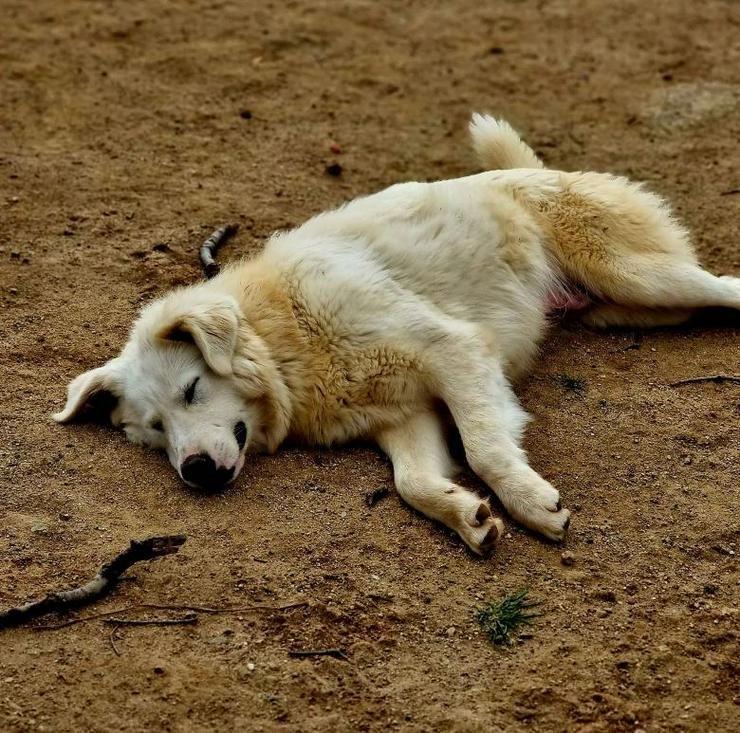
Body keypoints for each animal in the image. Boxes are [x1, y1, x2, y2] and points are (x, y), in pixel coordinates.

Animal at [55, 116, 740, 556]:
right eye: (154, 431)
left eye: (193, 390)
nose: (195, 471)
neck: (285, 336)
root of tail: (531, 171)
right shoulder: (405, 415)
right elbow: (412, 483)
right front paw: (470, 517)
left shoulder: (454, 352)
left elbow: (487, 449)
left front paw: (529, 503)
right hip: (629, 309)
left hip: (639, 277)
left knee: (726, 285)